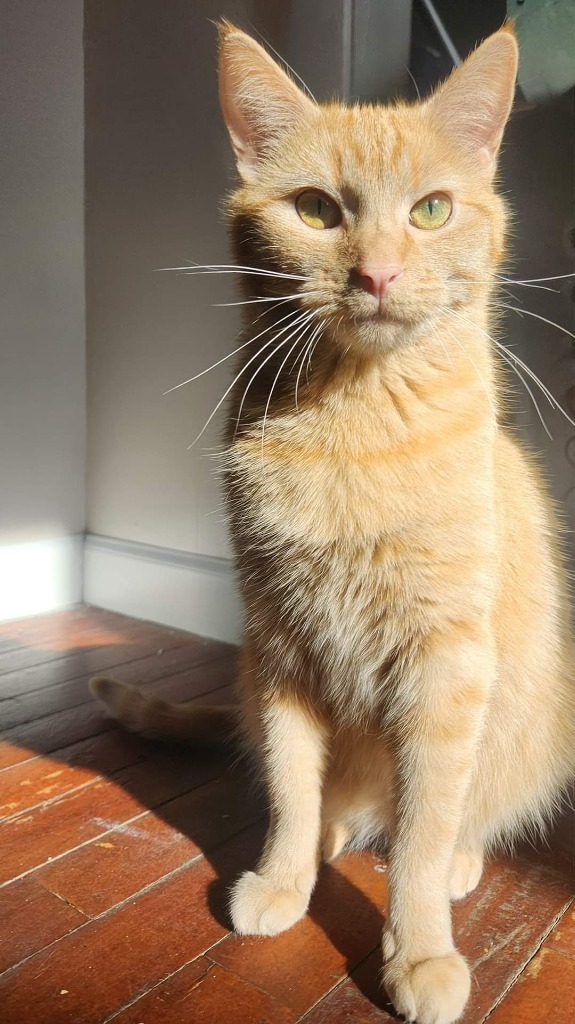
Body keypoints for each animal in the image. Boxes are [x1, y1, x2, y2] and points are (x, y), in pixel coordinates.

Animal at [91, 24, 568, 1024]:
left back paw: (459, 858)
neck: (354, 425)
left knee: (460, 813)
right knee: (336, 801)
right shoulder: (278, 647)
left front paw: (417, 949)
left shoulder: (443, 669)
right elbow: (288, 787)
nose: (376, 273)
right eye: (315, 210)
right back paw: (327, 840)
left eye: (431, 210)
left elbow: (422, 829)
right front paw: (282, 874)